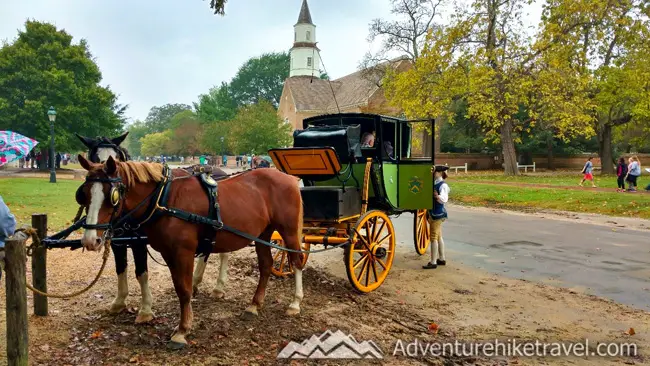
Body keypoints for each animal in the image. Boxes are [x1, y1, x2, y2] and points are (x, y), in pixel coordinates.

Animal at [75, 154, 304, 348]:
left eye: (112, 195)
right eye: (83, 194)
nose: (90, 240)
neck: (164, 198)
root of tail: (288, 177)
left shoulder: (183, 252)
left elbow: (184, 289)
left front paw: (182, 330)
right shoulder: (169, 252)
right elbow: (179, 286)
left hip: (289, 232)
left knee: (297, 261)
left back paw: (295, 303)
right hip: (262, 234)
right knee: (265, 266)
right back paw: (255, 305)